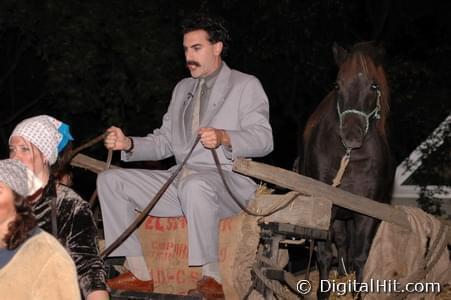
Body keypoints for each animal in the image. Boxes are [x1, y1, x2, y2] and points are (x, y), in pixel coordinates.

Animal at [300, 41, 396, 298]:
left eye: (373, 85)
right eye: (337, 84)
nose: (351, 136)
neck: (350, 158)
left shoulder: (365, 210)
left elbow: (361, 257)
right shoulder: (326, 206)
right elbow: (324, 254)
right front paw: (323, 292)